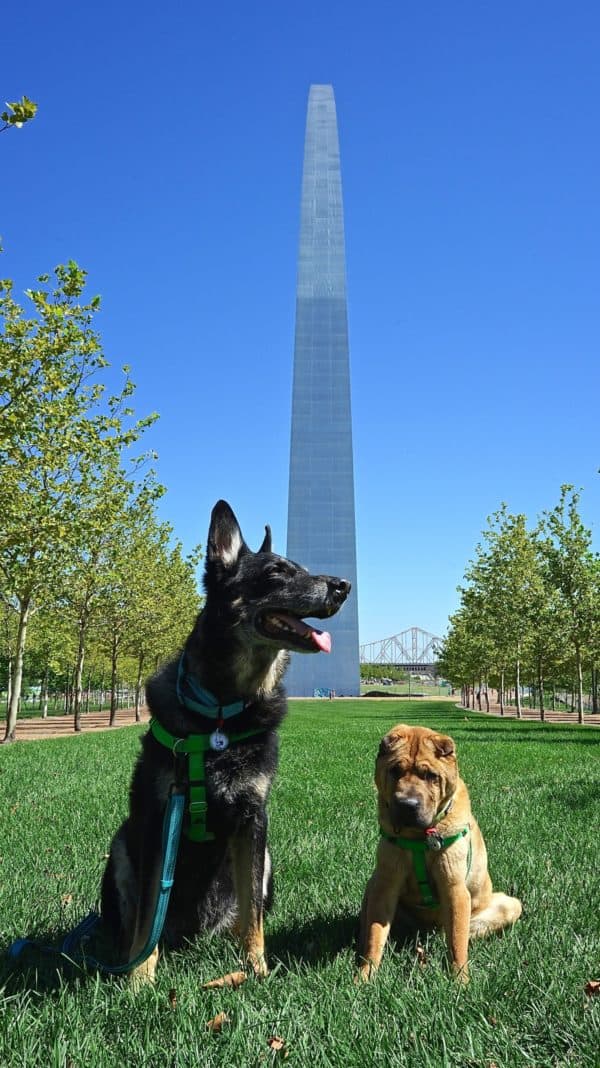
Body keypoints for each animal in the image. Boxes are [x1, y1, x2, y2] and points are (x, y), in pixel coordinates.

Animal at [100, 499, 348, 982]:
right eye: (276, 572)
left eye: (303, 569)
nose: (343, 586)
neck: (222, 712)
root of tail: (193, 931)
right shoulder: (157, 819)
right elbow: (147, 911)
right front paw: (140, 978)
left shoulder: (253, 818)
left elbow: (252, 913)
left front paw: (256, 966)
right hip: (122, 843)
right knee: (132, 920)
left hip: (267, 857)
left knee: (242, 914)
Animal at [356, 721, 520, 978]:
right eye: (395, 770)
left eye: (431, 775)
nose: (407, 805)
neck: (419, 837)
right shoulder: (385, 885)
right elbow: (374, 936)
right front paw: (365, 975)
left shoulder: (454, 888)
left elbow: (457, 942)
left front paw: (460, 980)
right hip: (372, 886)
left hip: (509, 905)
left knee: (457, 933)